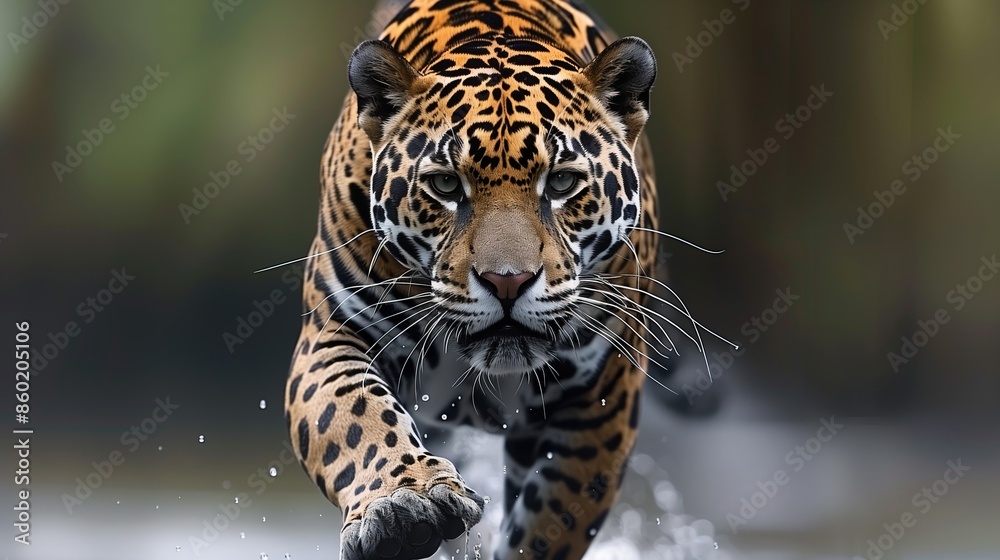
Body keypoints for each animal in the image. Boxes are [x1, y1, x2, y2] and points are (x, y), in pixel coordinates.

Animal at [284, 1, 671, 558]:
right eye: (446, 185)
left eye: (562, 182)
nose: (507, 282)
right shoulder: (332, 334)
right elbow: (357, 419)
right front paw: (405, 503)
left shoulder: (601, 398)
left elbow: (549, 525)